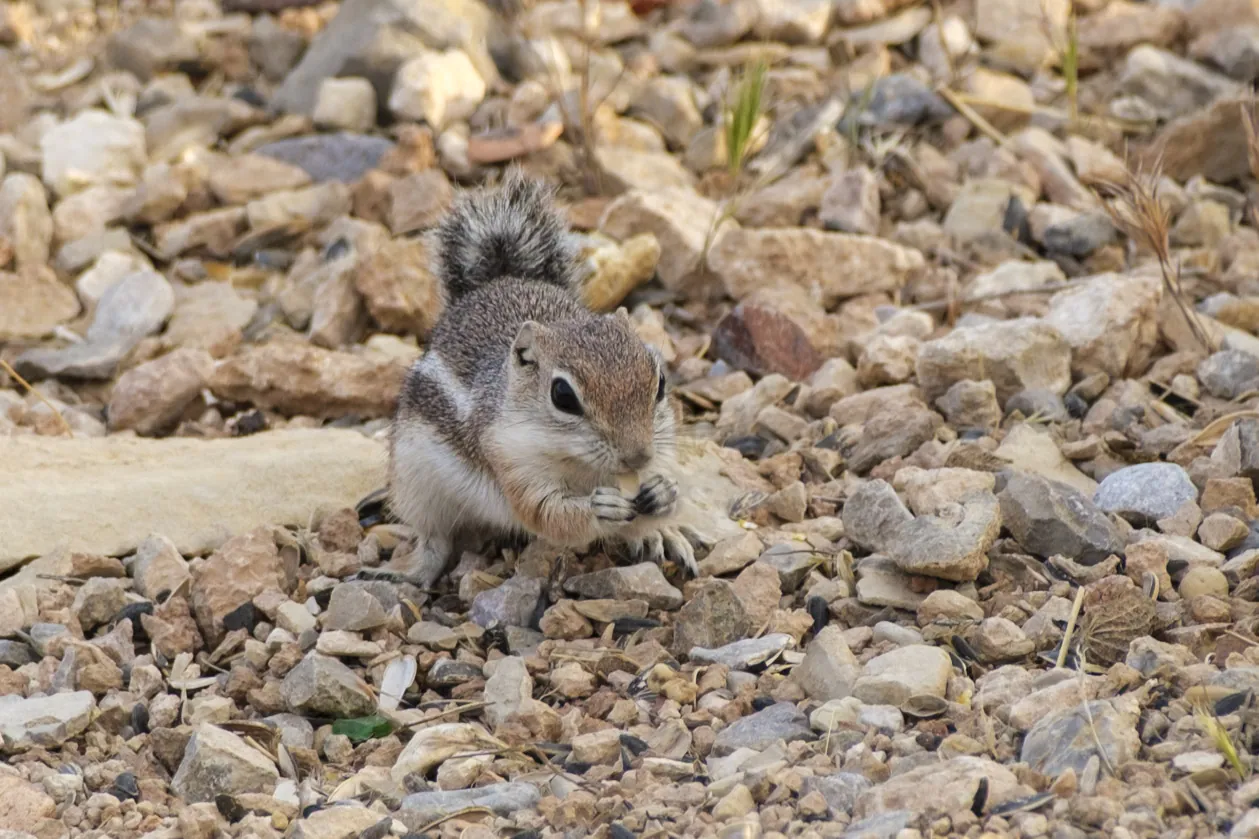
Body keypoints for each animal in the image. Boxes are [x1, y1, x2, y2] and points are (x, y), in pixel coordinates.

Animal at [383, 168, 698, 590]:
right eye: (563, 396)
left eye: (660, 383)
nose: (638, 456)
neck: (579, 463)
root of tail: (499, 280)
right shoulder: (513, 462)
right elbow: (547, 514)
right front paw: (599, 510)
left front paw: (664, 495)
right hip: (418, 486)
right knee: (434, 540)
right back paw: (409, 572)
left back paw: (658, 534)